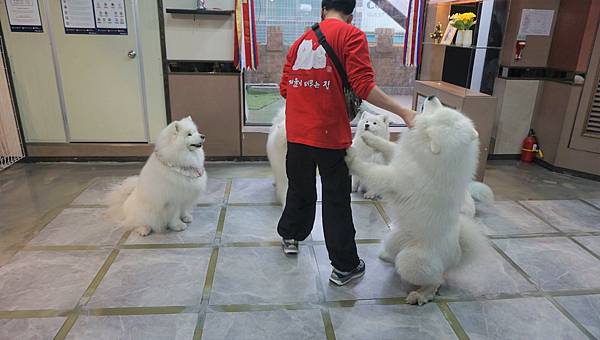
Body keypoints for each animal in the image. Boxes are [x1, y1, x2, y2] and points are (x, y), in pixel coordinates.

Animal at [344, 96, 490, 306]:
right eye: (440, 109)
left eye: (432, 114)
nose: (431, 97)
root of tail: (457, 253)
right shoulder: (398, 157)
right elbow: (387, 145)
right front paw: (368, 138)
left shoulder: (392, 178)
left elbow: (369, 170)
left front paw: (351, 156)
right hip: (395, 237)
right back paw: (386, 256)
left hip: (412, 261)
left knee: (436, 281)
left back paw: (420, 295)